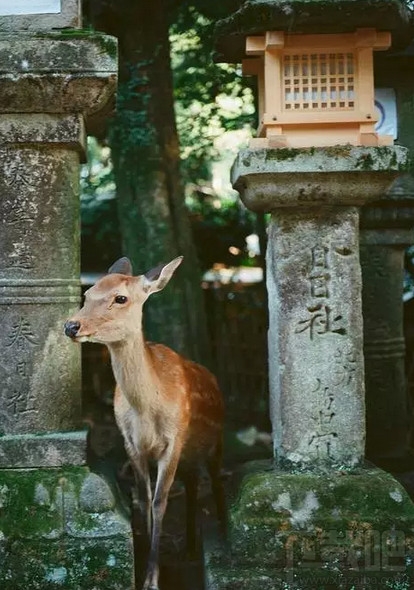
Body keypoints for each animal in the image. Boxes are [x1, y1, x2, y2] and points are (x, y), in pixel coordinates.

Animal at [64, 256, 225, 590]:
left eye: (120, 298)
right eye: (87, 294)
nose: (71, 325)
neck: (148, 410)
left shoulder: (174, 439)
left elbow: (160, 502)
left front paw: (152, 578)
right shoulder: (130, 442)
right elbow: (143, 498)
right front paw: (141, 567)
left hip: (217, 439)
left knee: (215, 478)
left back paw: (222, 527)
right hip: (190, 455)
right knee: (192, 483)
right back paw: (190, 545)